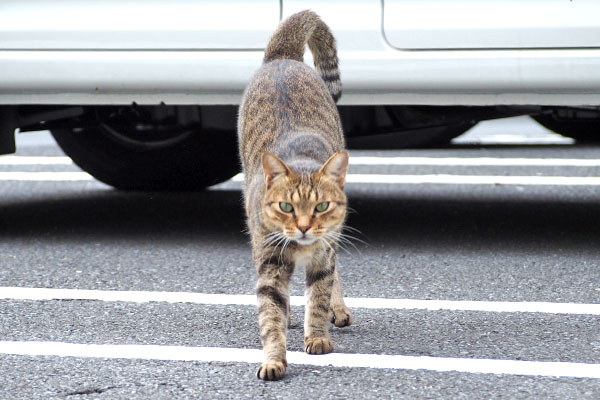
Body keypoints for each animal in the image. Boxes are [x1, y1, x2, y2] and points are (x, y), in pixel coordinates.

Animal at [237, 8, 354, 378]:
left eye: (322, 206)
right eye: (286, 207)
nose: (303, 227)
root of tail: (282, 58)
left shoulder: (323, 256)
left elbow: (318, 297)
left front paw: (316, 337)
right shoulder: (269, 263)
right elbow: (271, 315)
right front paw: (274, 358)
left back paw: (337, 309)